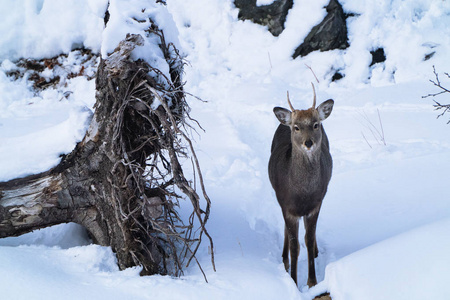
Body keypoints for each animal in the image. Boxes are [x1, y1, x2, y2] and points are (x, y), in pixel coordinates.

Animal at [268, 85, 334, 288]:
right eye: (296, 127)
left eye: (315, 124)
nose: (309, 142)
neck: (303, 193)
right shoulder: (287, 206)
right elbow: (295, 246)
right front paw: (293, 280)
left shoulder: (315, 205)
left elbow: (308, 240)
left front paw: (312, 282)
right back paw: (284, 259)